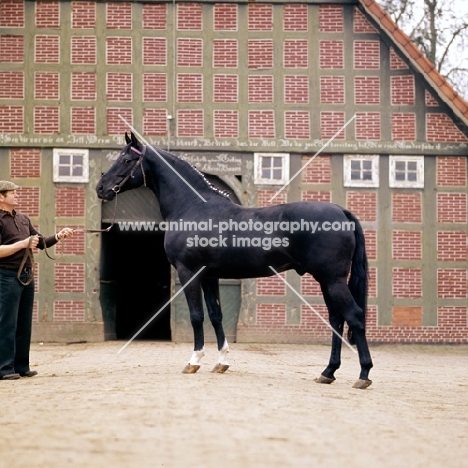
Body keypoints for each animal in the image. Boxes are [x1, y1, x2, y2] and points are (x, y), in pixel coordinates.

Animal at [98, 132, 372, 388]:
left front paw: (194, 361)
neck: (193, 207)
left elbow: (196, 315)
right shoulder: (209, 276)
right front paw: (221, 362)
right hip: (327, 281)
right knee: (337, 319)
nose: (101, 188)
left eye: (126, 159)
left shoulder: (189, 272)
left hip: (332, 280)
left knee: (354, 316)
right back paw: (328, 372)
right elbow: (215, 315)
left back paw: (363, 375)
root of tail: (342, 212)